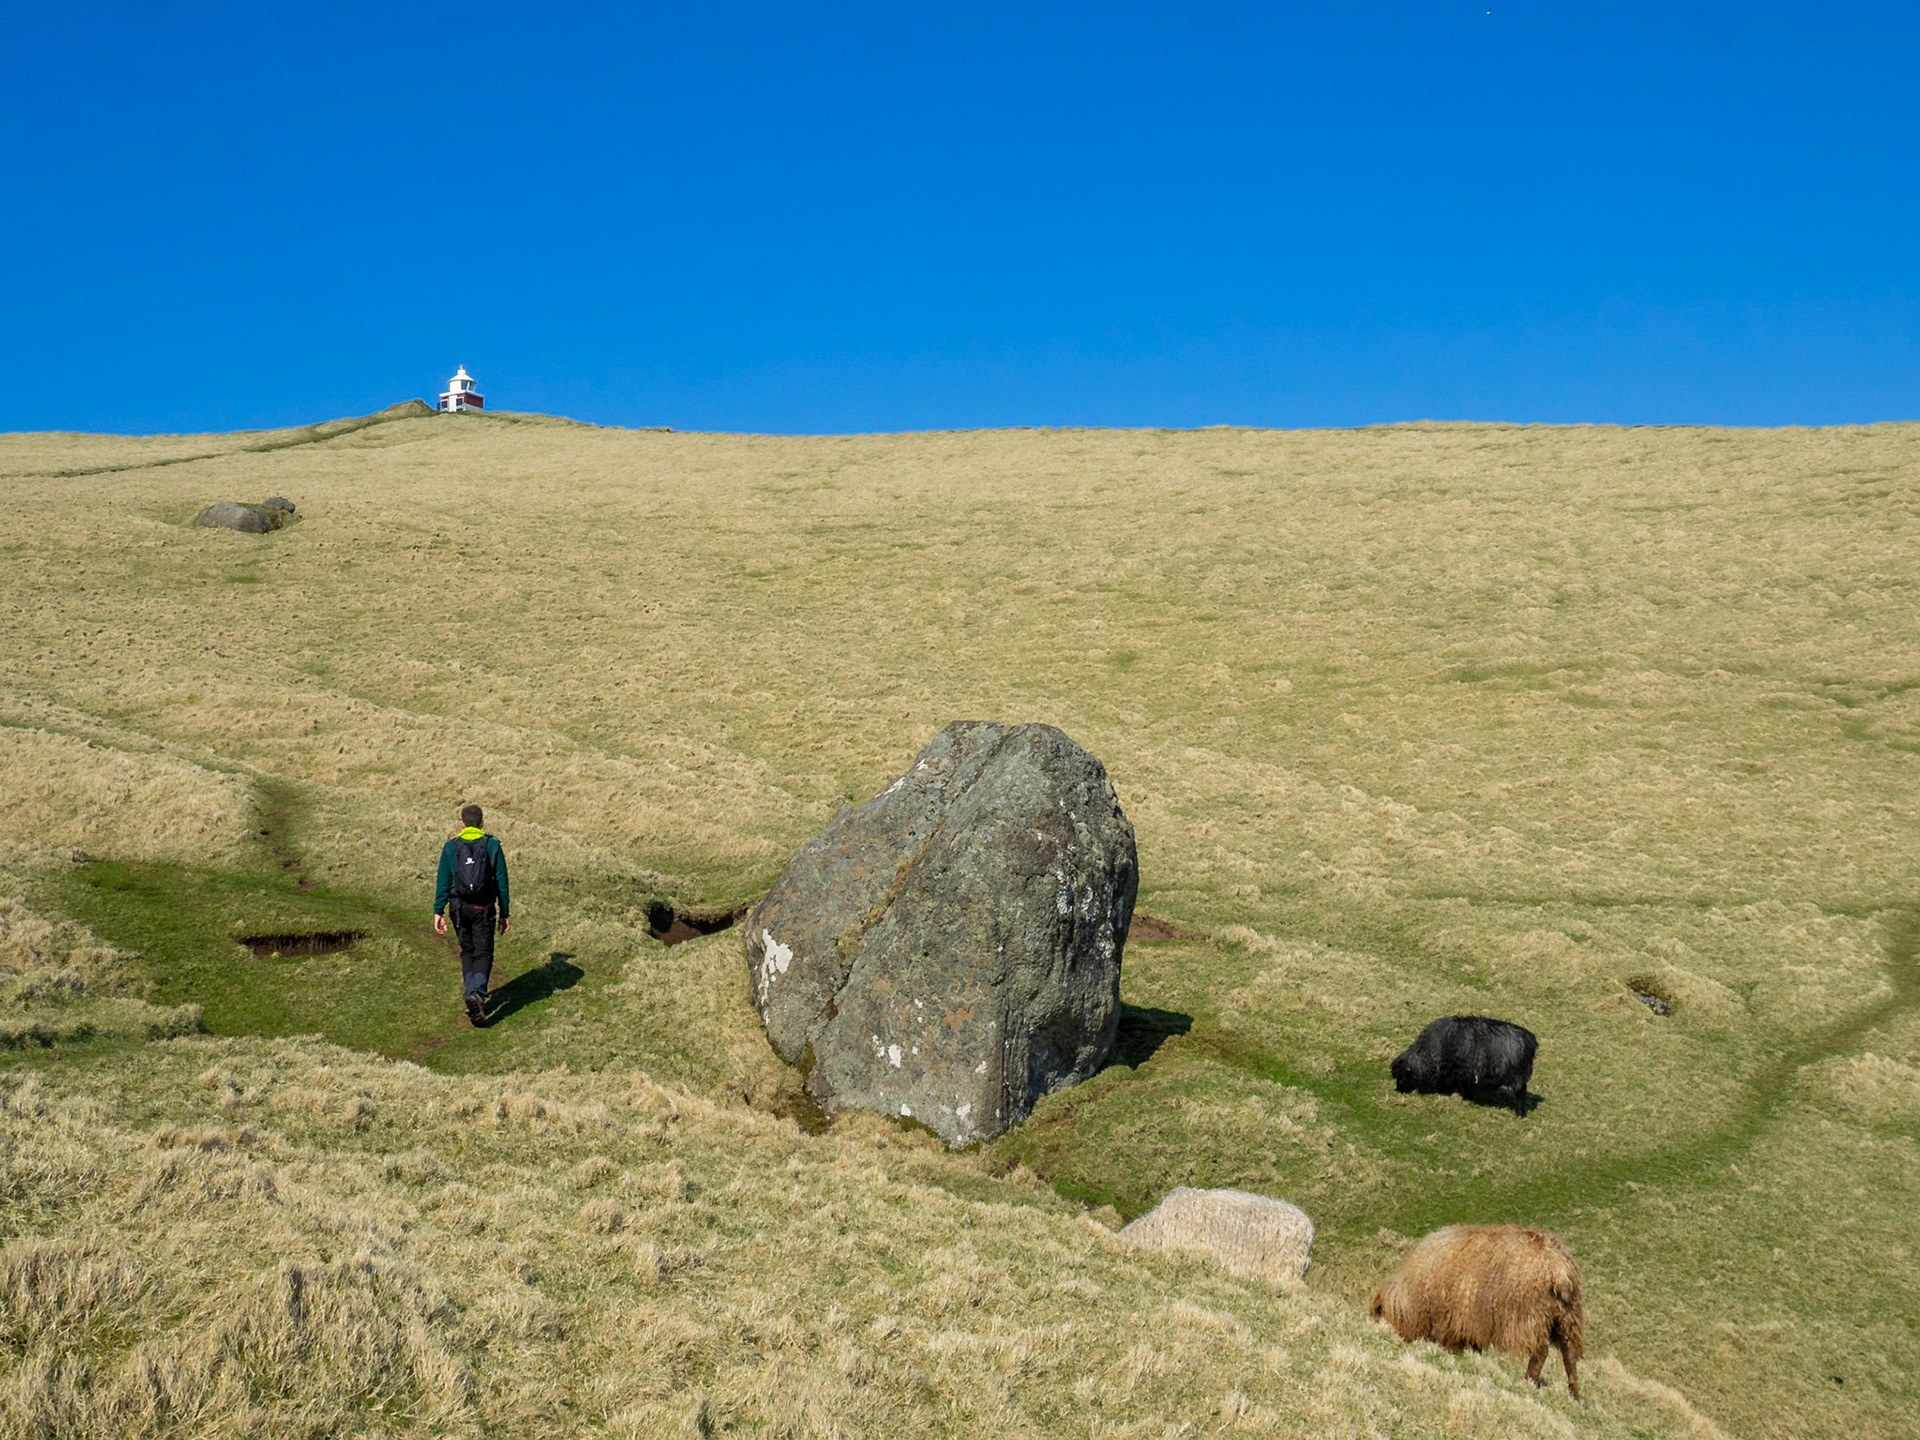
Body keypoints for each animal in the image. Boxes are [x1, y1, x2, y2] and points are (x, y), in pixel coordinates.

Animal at [1370, 1224, 1584, 1397]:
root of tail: (1558, 1268)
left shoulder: (1450, 1317)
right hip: (1567, 1317)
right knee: (1569, 1355)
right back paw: (1574, 1394)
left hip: (1531, 1316)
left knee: (1540, 1352)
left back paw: (1529, 1380)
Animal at [1391, 1015, 1538, 1116]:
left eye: (1403, 1077)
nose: (1398, 1090)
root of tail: (1530, 1040)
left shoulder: (1460, 1071)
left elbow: (1463, 1085)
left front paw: (1467, 1097)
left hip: (1518, 1076)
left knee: (1520, 1094)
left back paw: (1520, 1114)